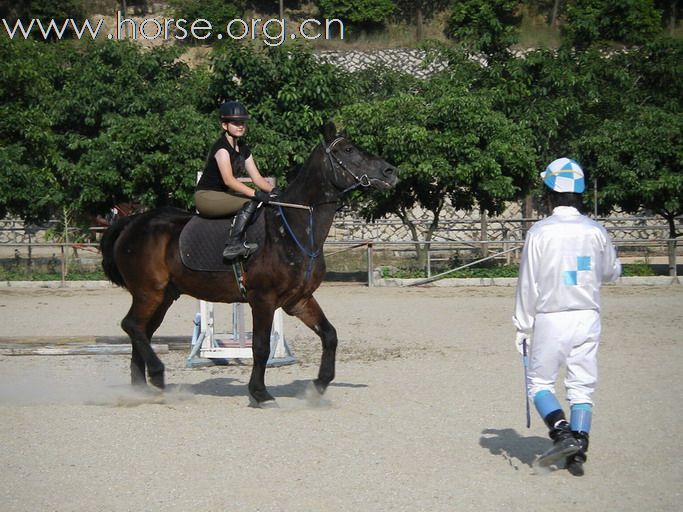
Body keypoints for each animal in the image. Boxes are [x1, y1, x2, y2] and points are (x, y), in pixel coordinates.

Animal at [101, 121, 400, 408]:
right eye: (348, 150)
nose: (391, 172)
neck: (295, 229)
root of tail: (132, 223)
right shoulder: (263, 299)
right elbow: (260, 347)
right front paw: (260, 394)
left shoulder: (299, 300)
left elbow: (329, 335)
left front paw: (318, 387)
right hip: (148, 292)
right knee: (132, 326)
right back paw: (157, 375)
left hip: (163, 296)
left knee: (141, 331)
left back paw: (140, 390)